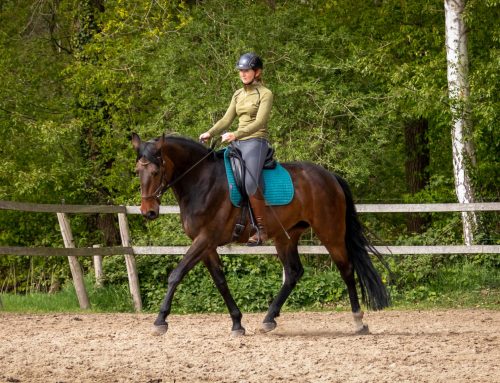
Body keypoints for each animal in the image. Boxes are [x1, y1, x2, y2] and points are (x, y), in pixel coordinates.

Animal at [133, 134, 390, 336]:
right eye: (137, 172)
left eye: (155, 171)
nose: (148, 212)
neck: (201, 181)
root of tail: (329, 176)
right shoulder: (206, 245)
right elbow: (220, 281)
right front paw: (237, 323)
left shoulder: (205, 239)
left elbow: (176, 274)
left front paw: (160, 321)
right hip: (286, 237)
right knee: (293, 272)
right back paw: (268, 319)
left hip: (330, 233)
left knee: (346, 269)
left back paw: (358, 322)